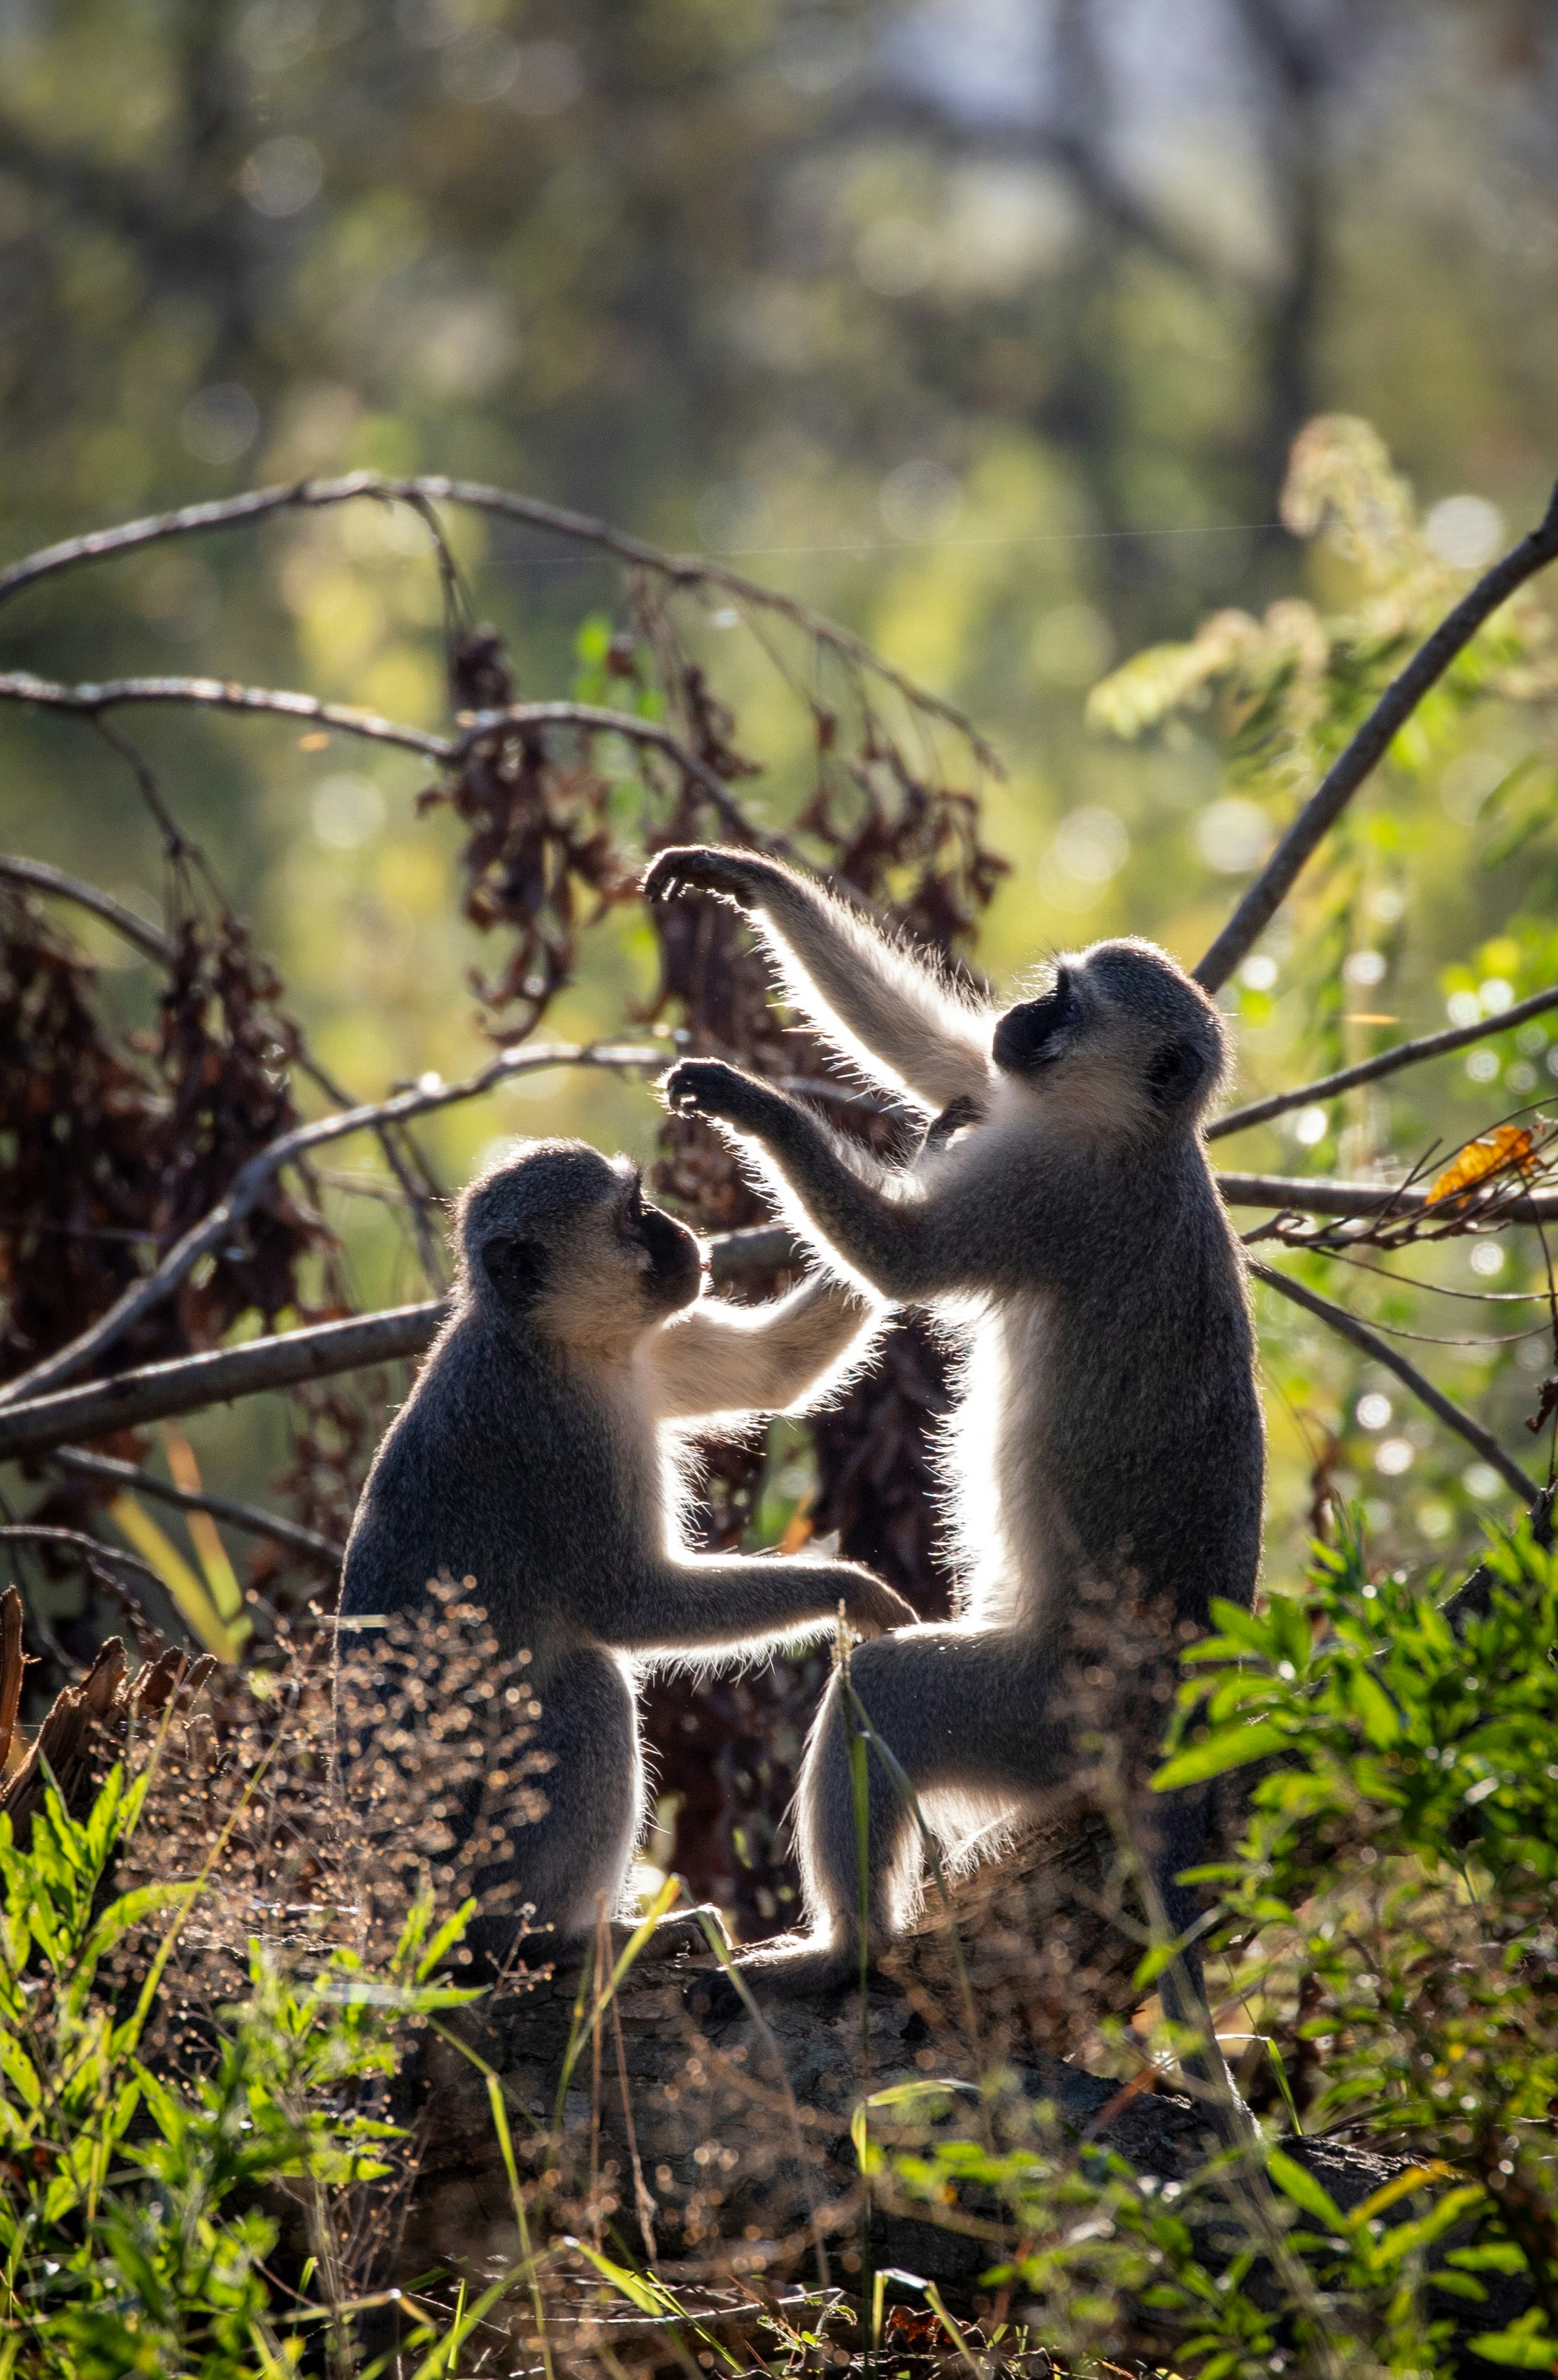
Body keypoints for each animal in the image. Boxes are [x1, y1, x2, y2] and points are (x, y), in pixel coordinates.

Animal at [330, 1142, 913, 1961]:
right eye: (632, 1215)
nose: (678, 1229)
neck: (552, 1341)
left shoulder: (649, 1350)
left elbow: (777, 1367)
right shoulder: (563, 1439)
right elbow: (633, 1606)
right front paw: (850, 1590)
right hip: (463, 1878)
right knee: (590, 1682)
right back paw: (551, 1938)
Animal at [647, 842, 1265, 2028]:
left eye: (1071, 1004)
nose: (1023, 1014)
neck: (1132, 1132)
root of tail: (1173, 1730)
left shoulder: (1049, 1193)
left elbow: (903, 1259)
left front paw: (755, 1105)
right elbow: (940, 1059)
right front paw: (748, 881)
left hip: (1044, 1719)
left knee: (885, 1690)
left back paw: (845, 1950)